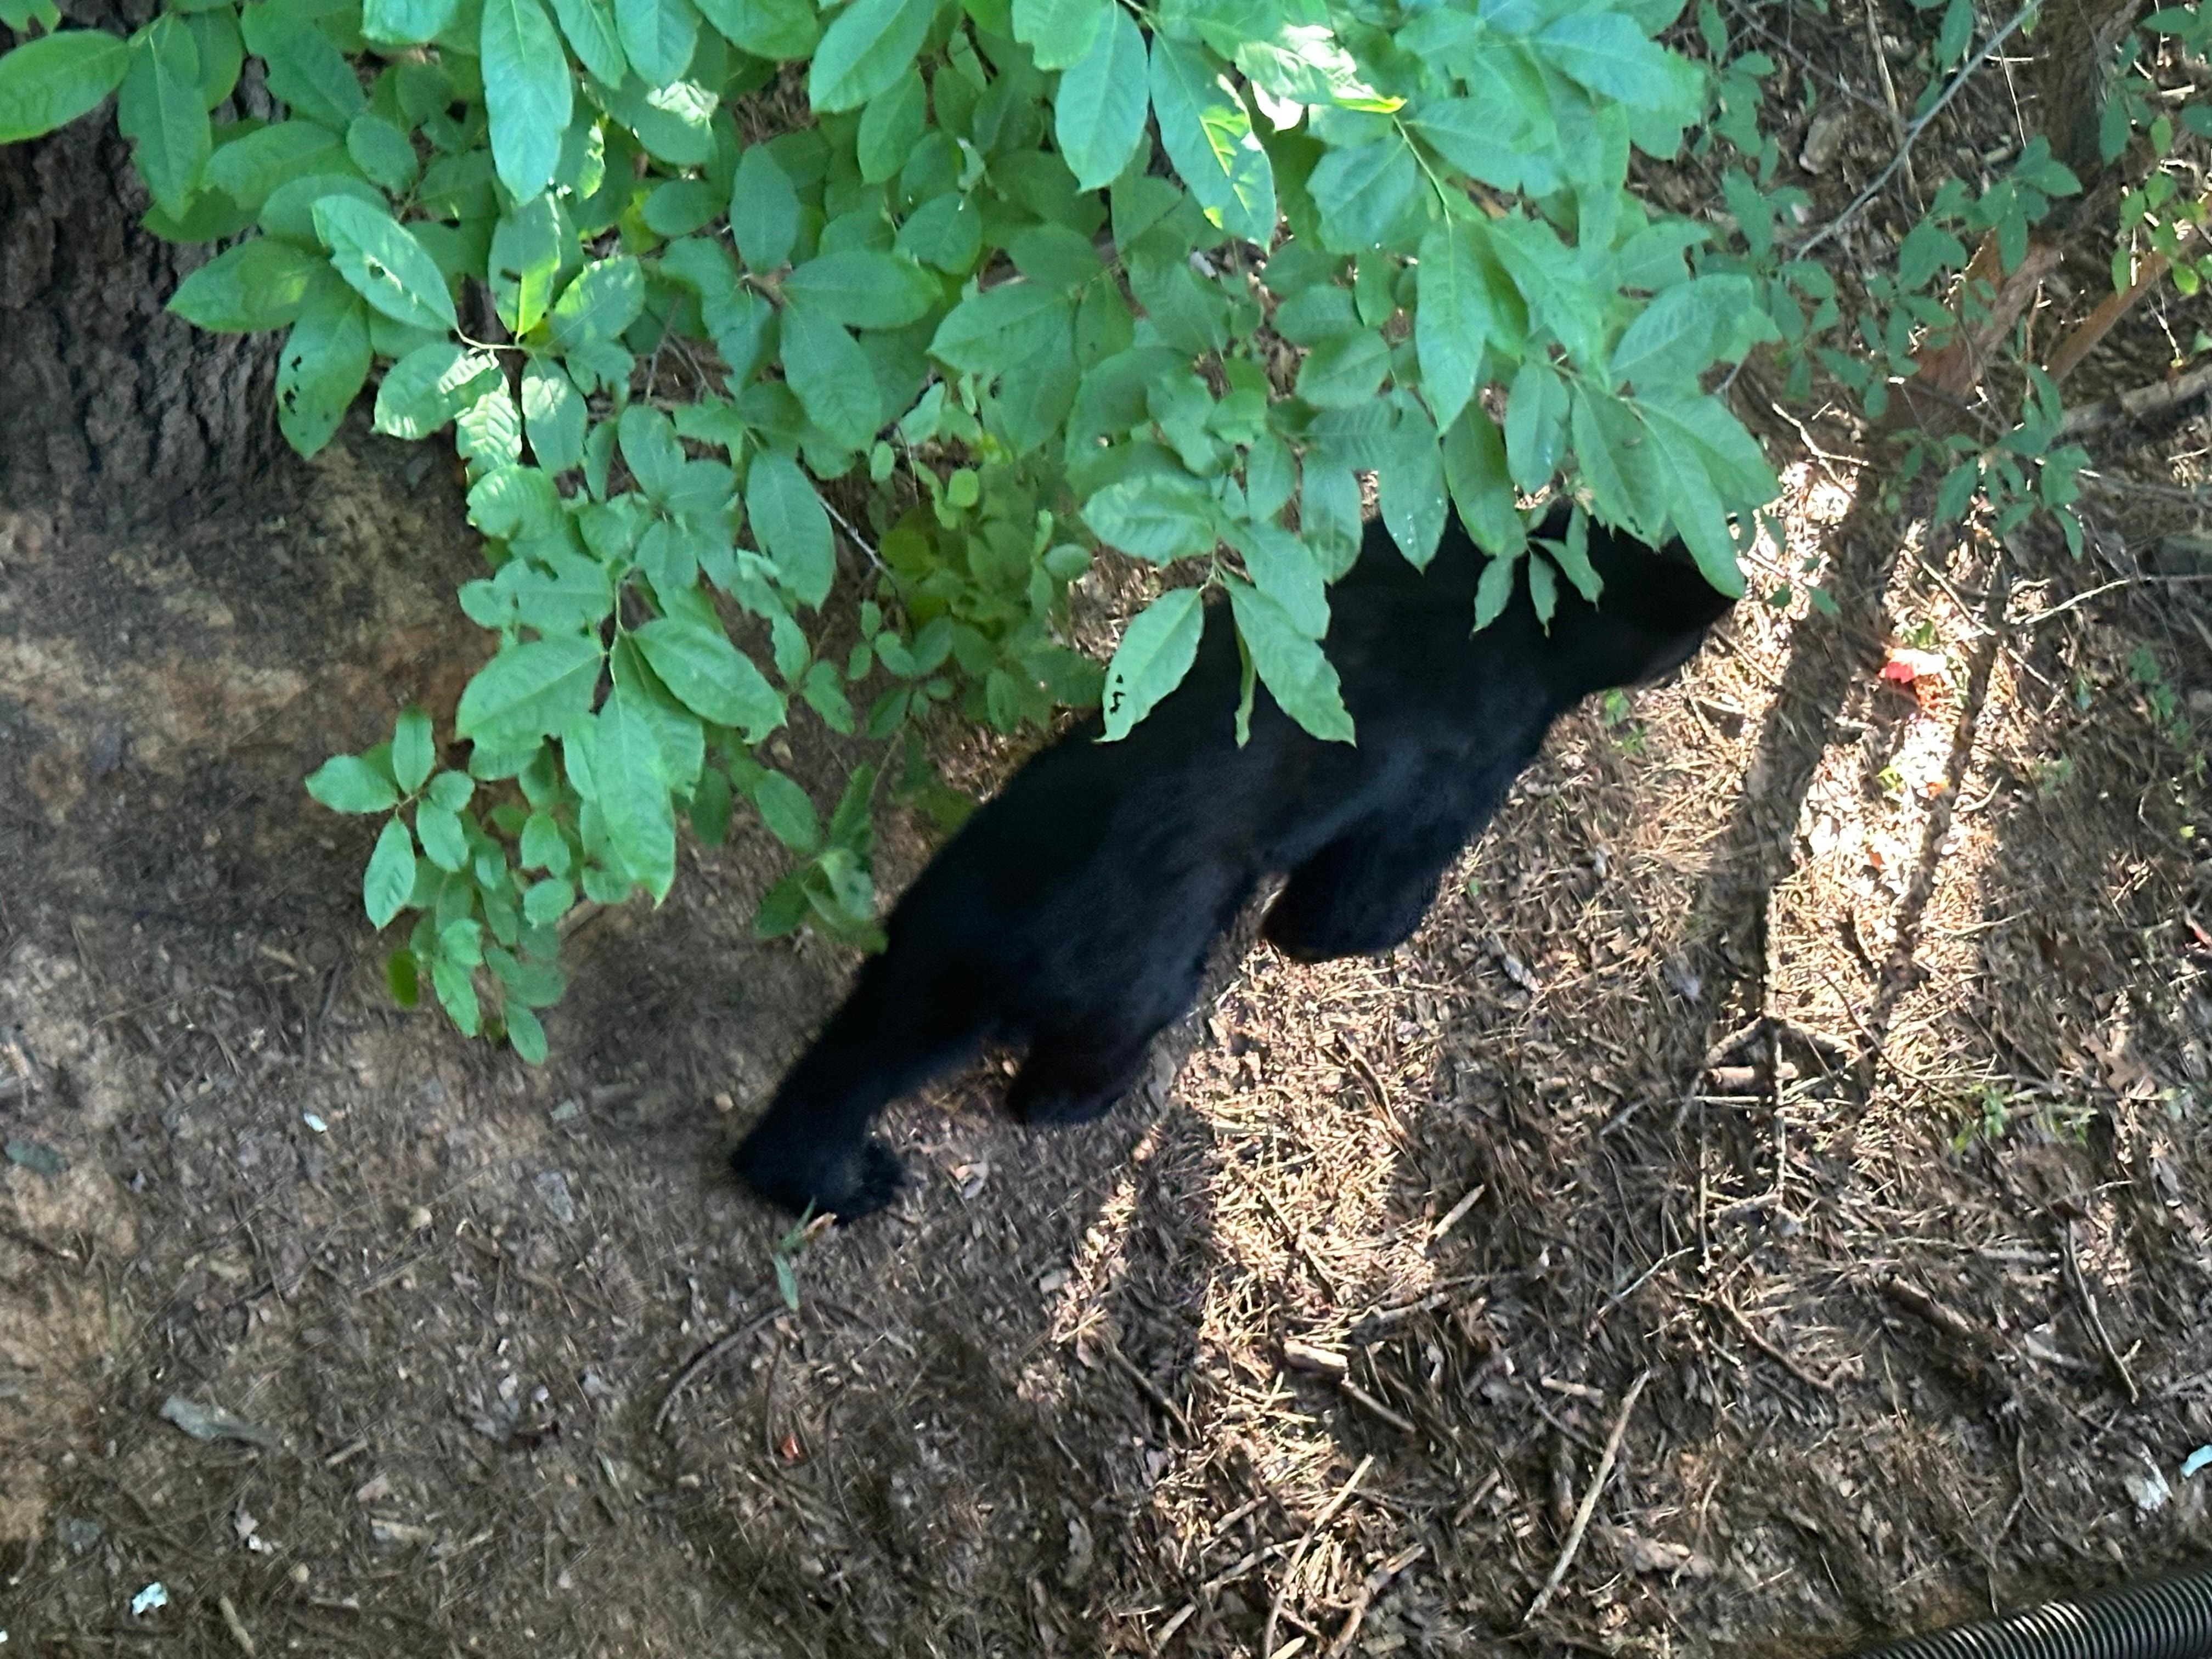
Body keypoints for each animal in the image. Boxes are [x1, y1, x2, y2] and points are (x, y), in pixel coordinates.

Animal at [733, 503, 1735, 1220]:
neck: (1524, 605)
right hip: (1132, 978)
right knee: (1059, 1072)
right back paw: (1082, 1099)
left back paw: (807, 1175)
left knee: (847, 1064)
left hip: (927, 935)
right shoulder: (1460, 775)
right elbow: (1351, 907)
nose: (1691, 651)